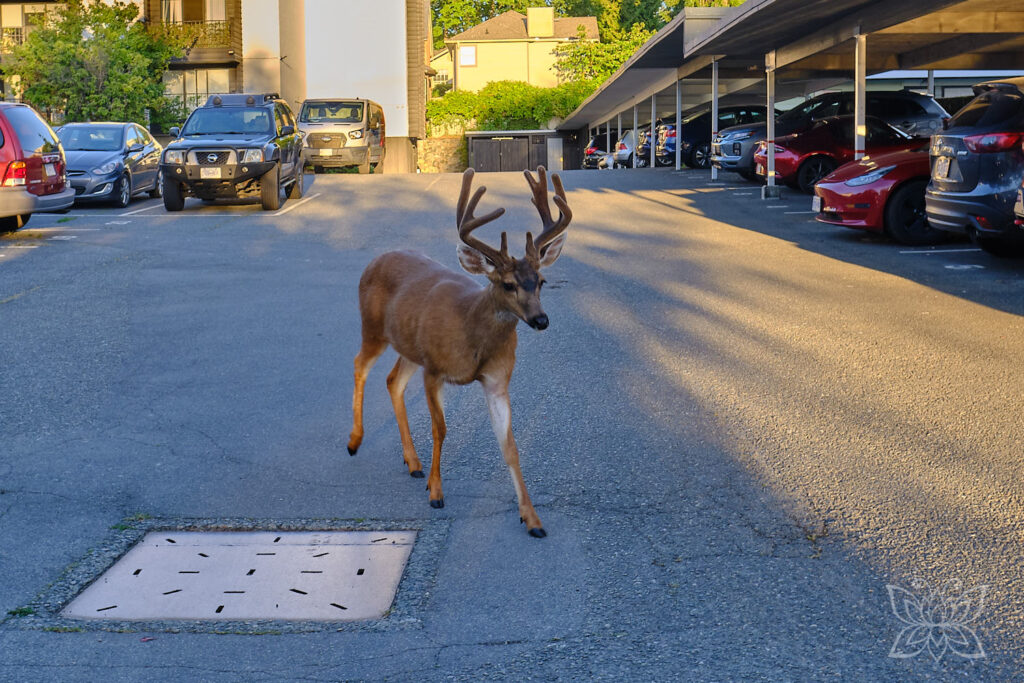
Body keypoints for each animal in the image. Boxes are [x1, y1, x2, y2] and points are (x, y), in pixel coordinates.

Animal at [346, 166, 571, 538]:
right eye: (508, 284)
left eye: (541, 281)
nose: (541, 320)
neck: (471, 335)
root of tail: (377, 258)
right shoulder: (435, 369)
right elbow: (440, 429)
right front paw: (437, 493)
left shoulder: (497, 380)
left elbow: (510, 446)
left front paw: (532, 519)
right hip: (374, 328)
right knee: (359, 365)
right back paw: (354, 441)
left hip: (410, 345)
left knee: (393, 381)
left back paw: (413, 462)